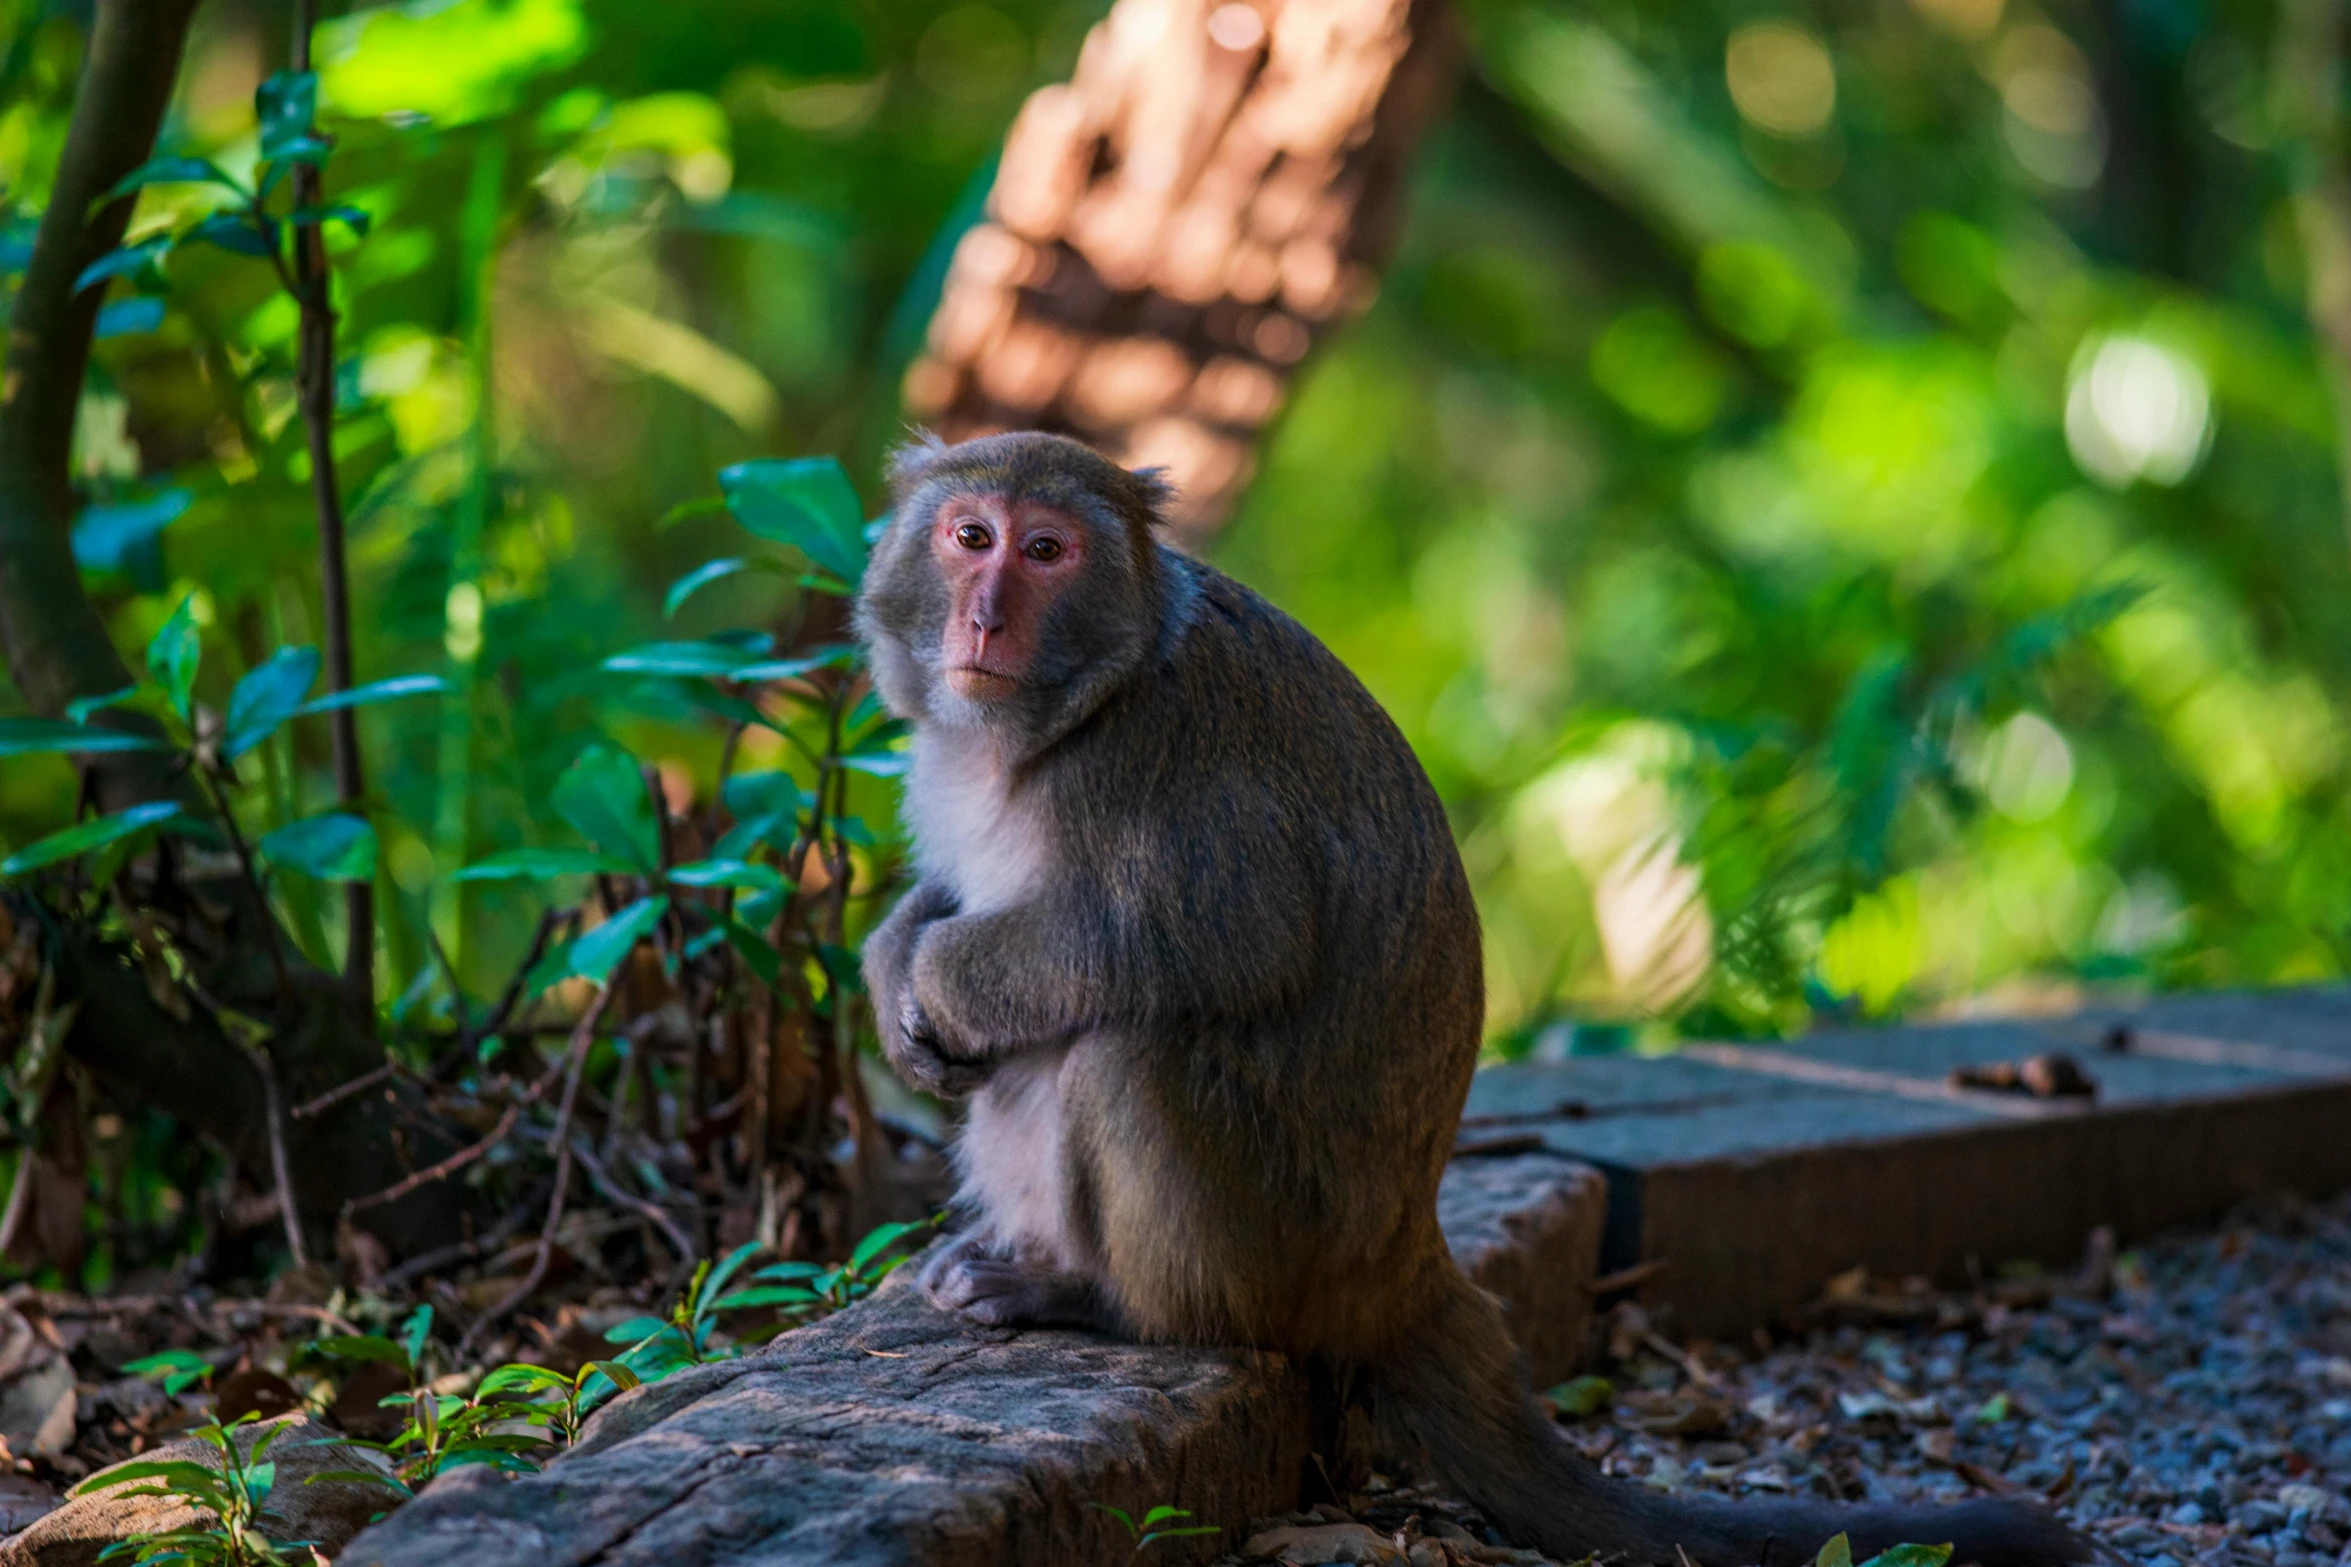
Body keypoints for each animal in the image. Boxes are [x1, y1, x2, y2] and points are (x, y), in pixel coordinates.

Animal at [851, 434, 2097, 1567]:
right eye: (971, 537)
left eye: (1046, 550)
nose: (984, 619)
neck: (1067, 708)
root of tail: (1403, 1264)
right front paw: (894, 965)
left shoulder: (1148, 759)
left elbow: (1220, 935)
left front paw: (937, 978)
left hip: (1278, 1235)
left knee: (1128, 1043)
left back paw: (1115, 1304)